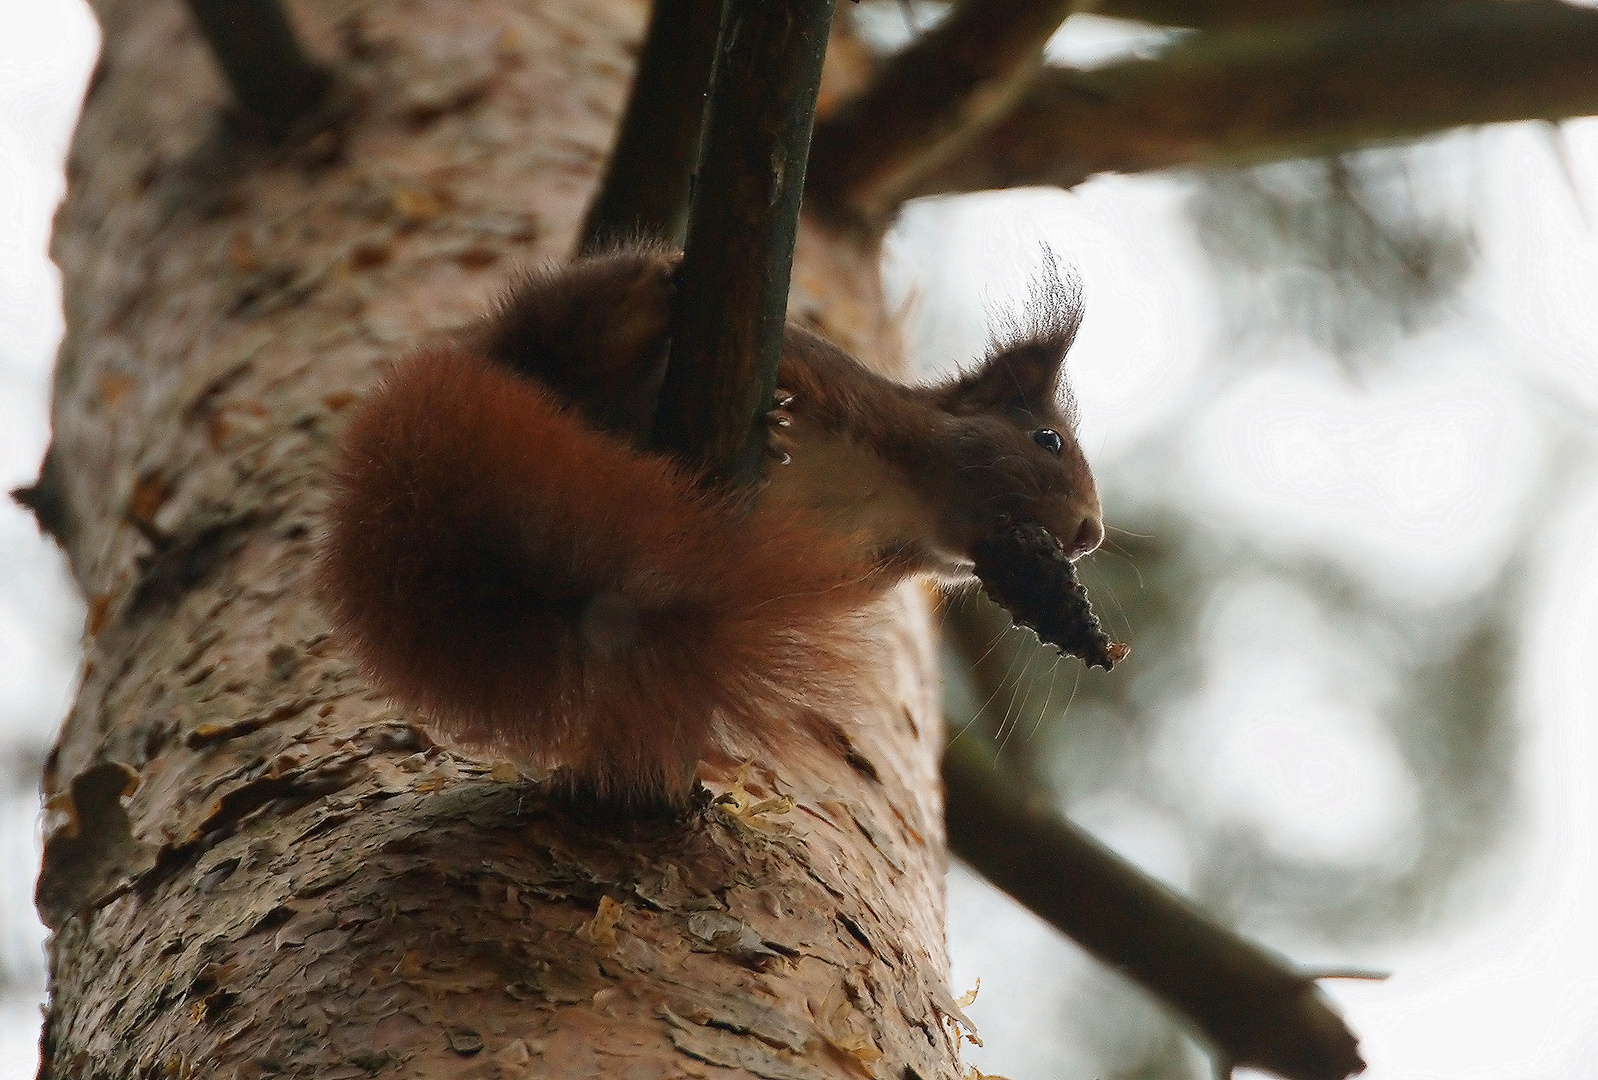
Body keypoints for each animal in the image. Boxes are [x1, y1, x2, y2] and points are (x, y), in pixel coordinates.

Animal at [318, 250, 1105, 802]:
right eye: (1048, 442)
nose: (1091, 534)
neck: (907, 507)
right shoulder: (839, 387)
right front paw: (777, 426)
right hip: (553, 333)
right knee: (573, 338)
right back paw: (645, 295)